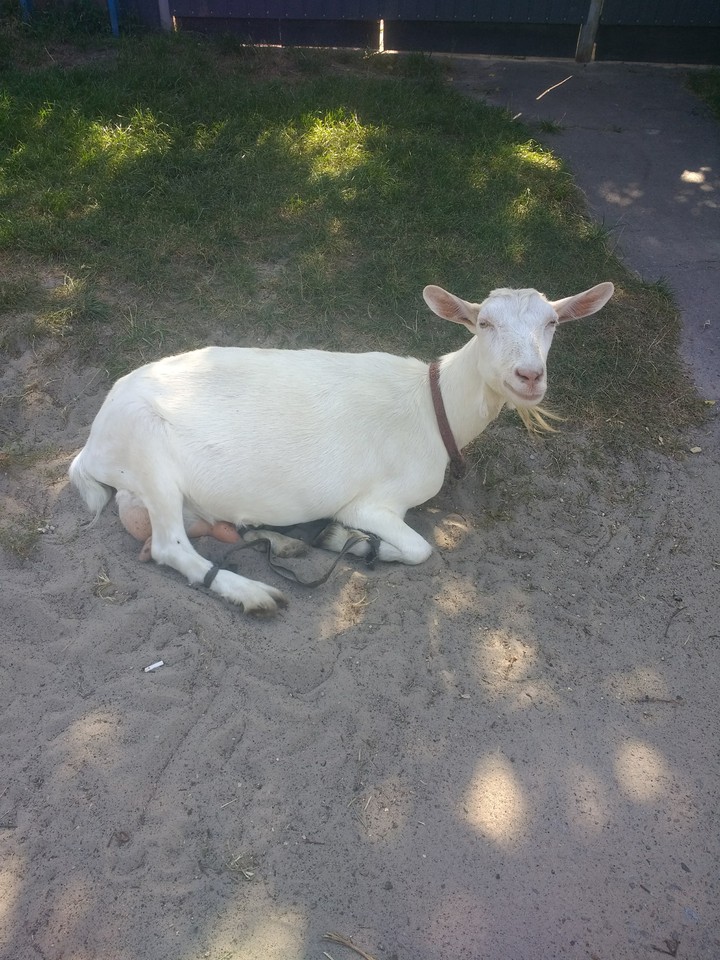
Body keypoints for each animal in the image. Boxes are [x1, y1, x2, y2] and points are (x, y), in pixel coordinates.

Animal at [69, 281, 614, 614]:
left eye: (552, 324)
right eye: (484, 324)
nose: (529, 376)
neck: (433, 405)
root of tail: (91, 446)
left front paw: (333, 538)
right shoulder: (374, 502)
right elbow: (419, 548)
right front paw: (346, 539)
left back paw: (283, 540)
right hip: (147, 448)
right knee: (168, 545)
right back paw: (253, 593)